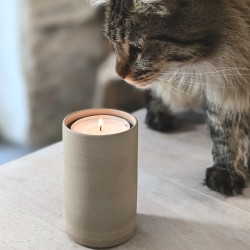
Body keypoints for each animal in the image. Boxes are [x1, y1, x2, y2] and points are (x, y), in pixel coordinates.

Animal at [91, 0, 250, 195]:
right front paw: (226, 171)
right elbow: (224, 132)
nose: (119, 75)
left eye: (136, 49)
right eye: (113, 45)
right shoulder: (222, 89)